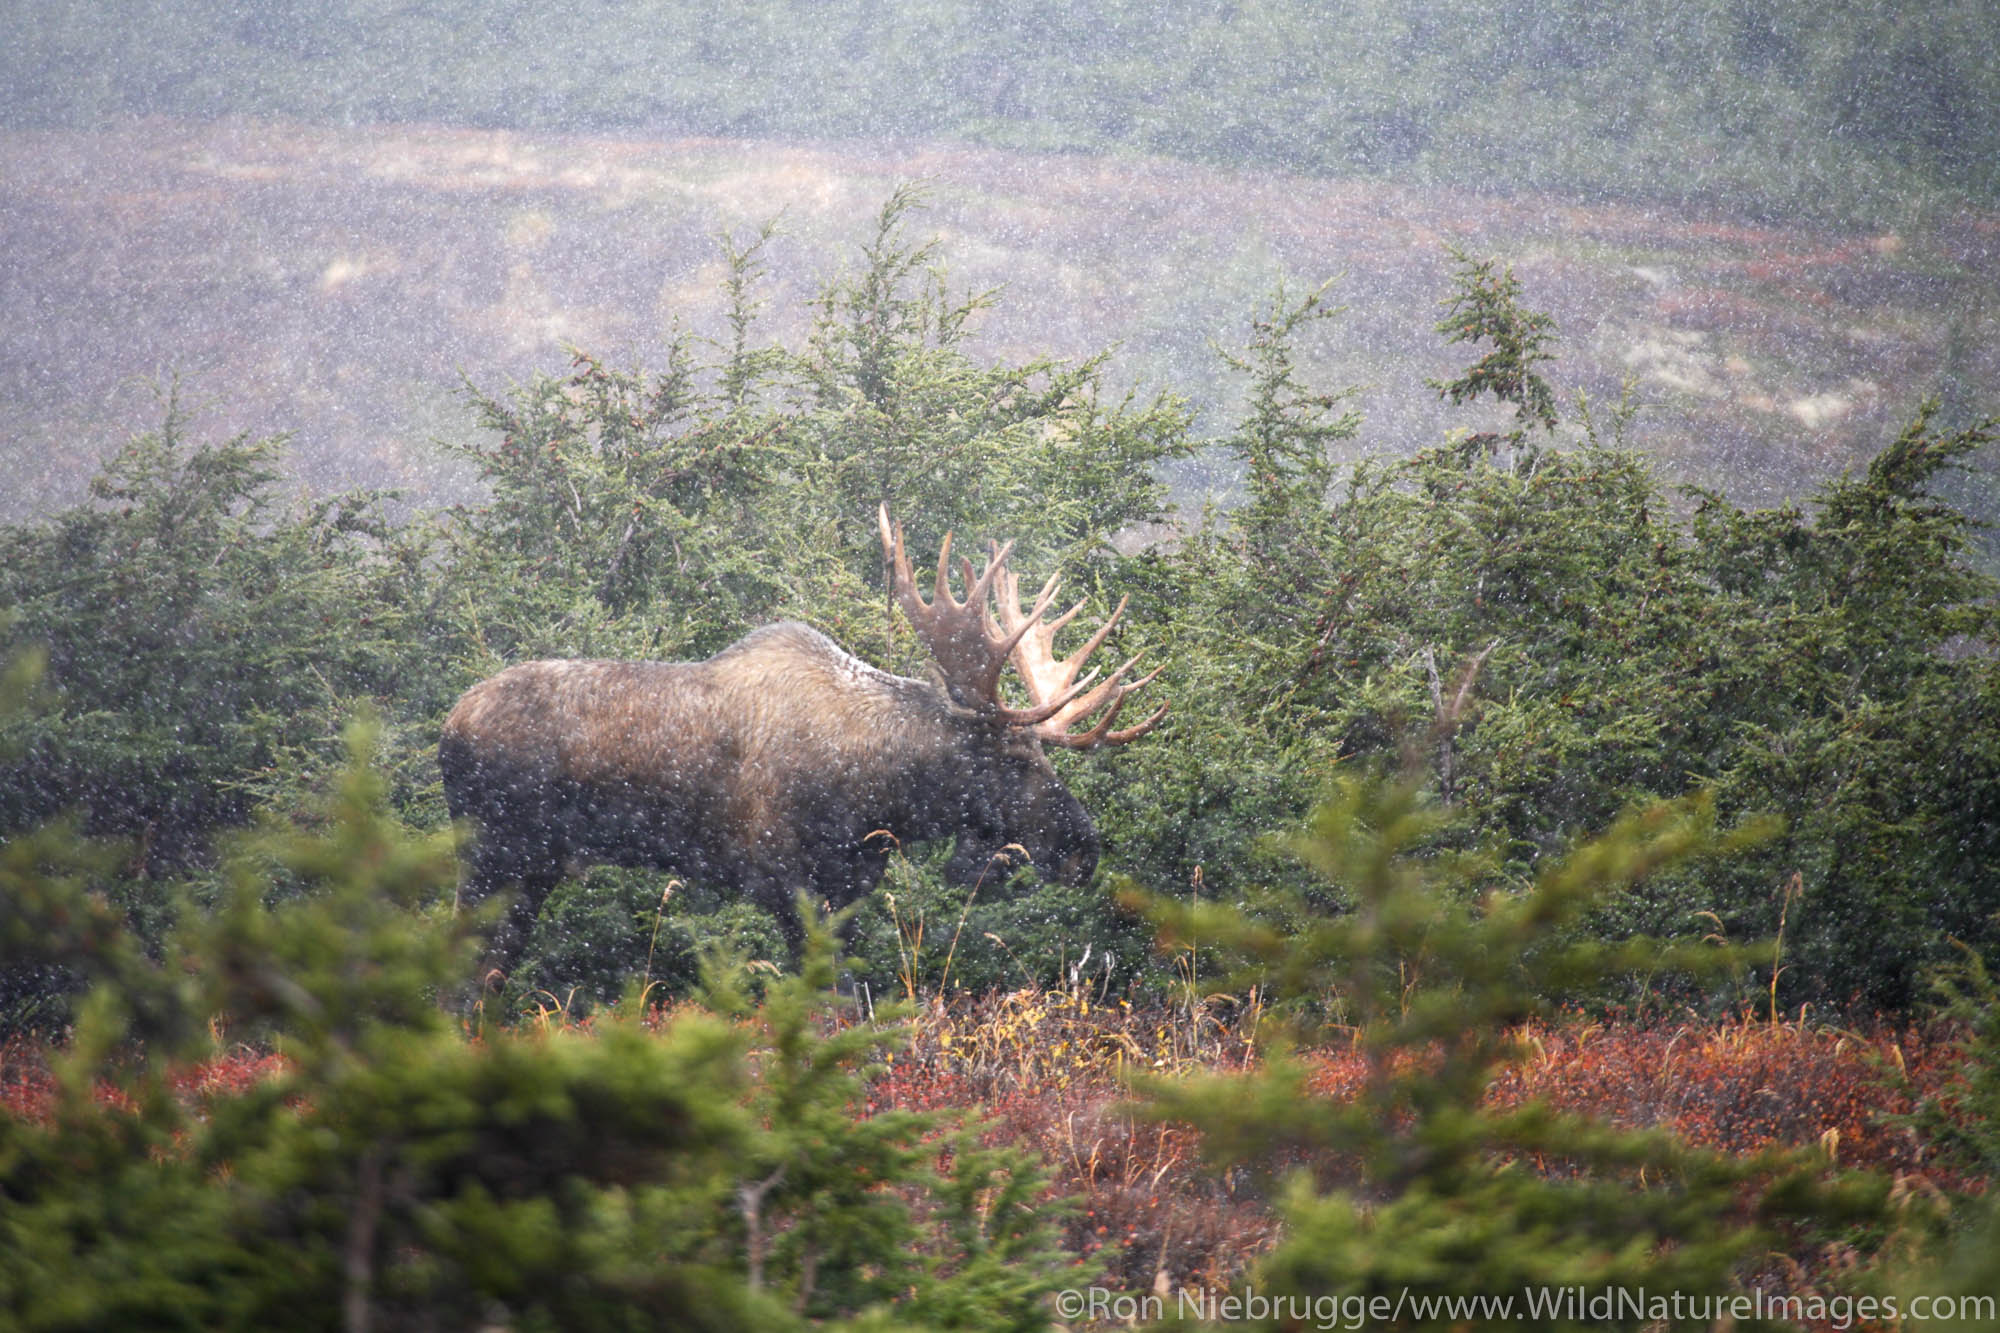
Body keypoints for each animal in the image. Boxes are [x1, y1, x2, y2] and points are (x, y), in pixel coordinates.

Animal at [434, 504, 1160, 980]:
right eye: (1013, 759)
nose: (1083, 848)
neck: (879, 795)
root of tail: (448, 726)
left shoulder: (851, 885)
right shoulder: (787, 882)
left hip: (532, 869)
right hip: (496, 855)